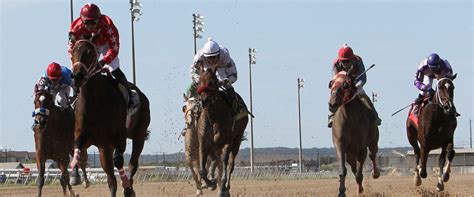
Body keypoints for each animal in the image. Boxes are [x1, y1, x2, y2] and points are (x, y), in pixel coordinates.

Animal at [195, 68, 248, 197]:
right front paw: (210, 183)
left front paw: (222, 185)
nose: (204, 100)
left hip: (237, 140)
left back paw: (226, 187)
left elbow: (224, 160)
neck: (214, 118)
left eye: (213, 82)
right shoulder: (203, 141)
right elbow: (202, 169)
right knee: (215, 158)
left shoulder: (228, 140)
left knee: (230, 164)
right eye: (199, 82)